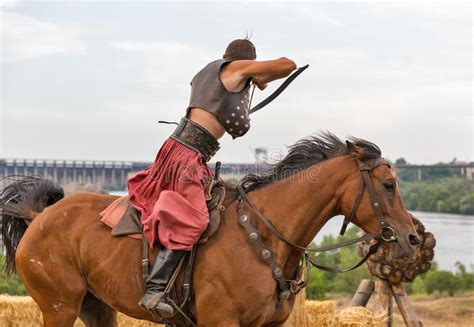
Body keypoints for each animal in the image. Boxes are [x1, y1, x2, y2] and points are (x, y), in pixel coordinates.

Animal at [1, 134, 420, 327]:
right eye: (388, 185)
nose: (411, 238)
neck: (262, 236)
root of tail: (41, 216)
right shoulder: (222, 321)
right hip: (59, 306)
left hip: (96, 306)